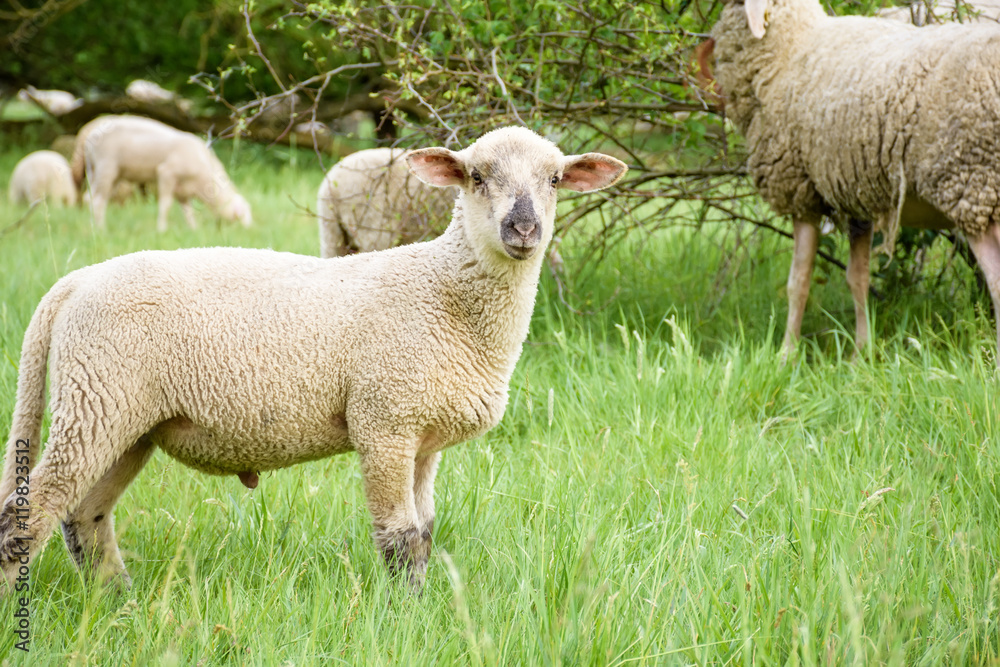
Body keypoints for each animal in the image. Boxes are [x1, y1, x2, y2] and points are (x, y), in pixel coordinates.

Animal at [71, 115, 252, 232]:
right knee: (98, 200)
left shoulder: (183, 191)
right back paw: (102, 230)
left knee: (90, 198)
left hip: (100, 171)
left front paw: (194, 230)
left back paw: (92, 228)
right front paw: (162, 230)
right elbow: (166, 205)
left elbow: (188, 211)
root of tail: (89, 138)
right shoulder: (167, 173)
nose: (250, 230)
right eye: (242, 215)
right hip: (106, 167)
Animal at [710, 0, 1000, 358]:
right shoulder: (857, 193)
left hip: (970, 180)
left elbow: (798, 281)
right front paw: (861, 352)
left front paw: (786, 354)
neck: (789, 47)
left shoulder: (801, 191)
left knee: (996, 282)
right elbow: (857, 277)